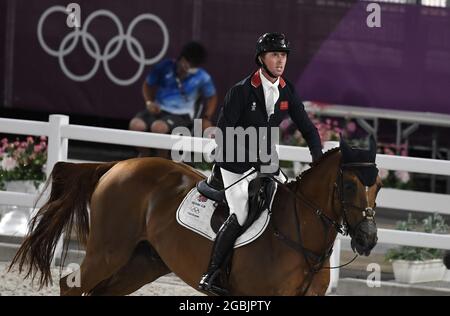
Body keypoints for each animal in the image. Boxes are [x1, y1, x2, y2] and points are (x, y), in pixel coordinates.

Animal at [8, 138, 382, 296]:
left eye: (378, 185)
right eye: (349, 185)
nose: (368, 239)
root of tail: (119, 165)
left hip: (145, 261)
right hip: (108, 252)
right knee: (69, 286)